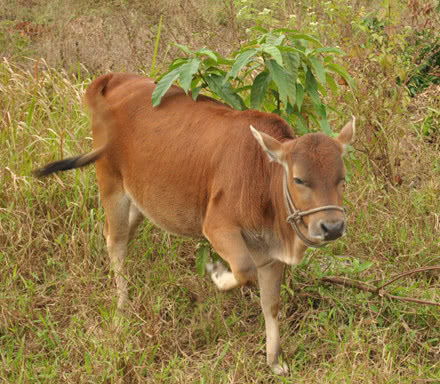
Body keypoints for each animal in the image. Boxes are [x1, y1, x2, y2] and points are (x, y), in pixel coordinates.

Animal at [36, 73, 356, 376]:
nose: (332, 227)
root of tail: (114, 78)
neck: (262, 177)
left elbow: (271, 304)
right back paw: (121, 310)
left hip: (140, 198)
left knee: (124, 235)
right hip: (111, 183)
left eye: (342, 178)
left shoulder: (271, 253)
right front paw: (216, 273)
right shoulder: (217, 227)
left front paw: (274, 361)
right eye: (299, 179)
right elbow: (243, 270)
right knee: (115, 242)